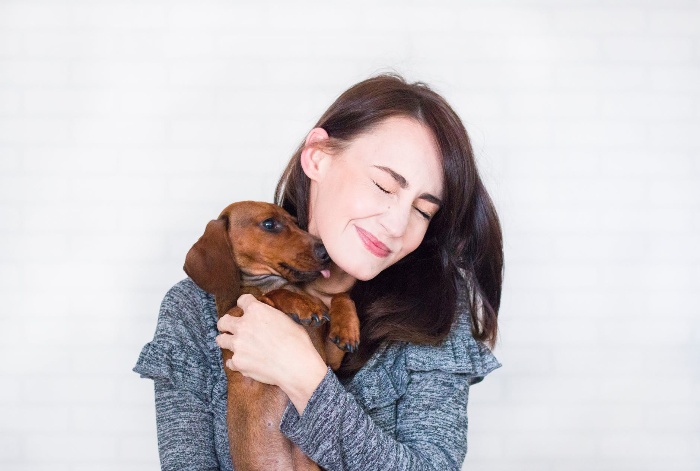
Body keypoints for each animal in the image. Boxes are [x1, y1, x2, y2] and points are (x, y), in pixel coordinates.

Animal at [183, 201, 360, 470]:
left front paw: (347, 328)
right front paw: (304, 305)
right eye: (269, 224)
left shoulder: (330, 359)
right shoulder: (236, 315)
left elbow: (341, 297)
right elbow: (273, 295)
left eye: (296, 222)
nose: (327, 253)